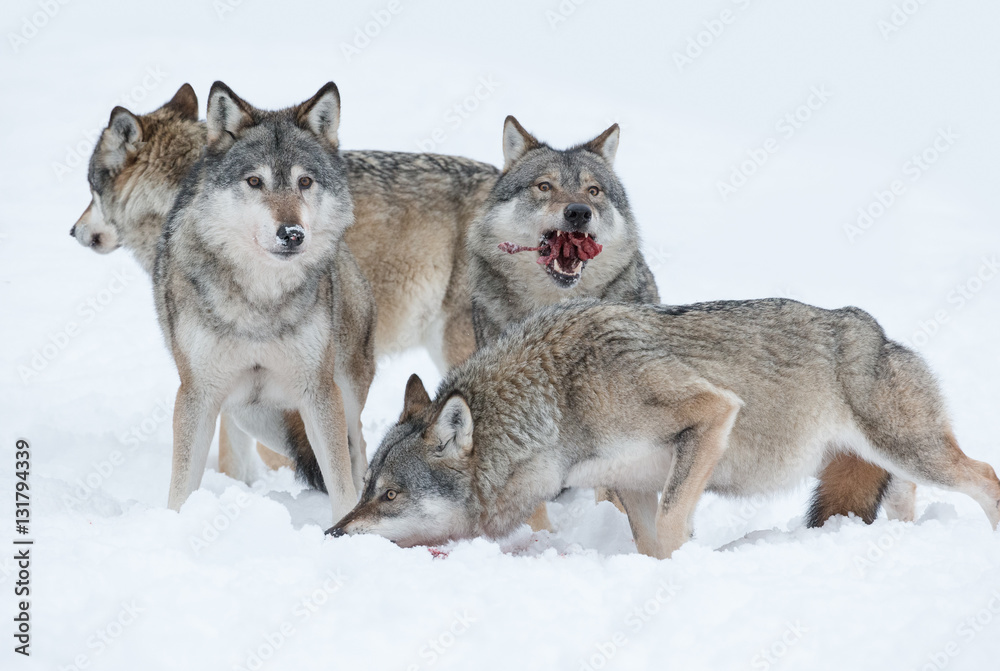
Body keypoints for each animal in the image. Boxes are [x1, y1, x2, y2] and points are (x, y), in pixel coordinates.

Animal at [154, 81, 376, 519]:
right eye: (255, 181)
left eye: (305, 182)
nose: (292, 234)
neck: (260, 300)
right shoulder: (197, 395)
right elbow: (181, 486)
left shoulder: (318, 391)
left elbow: (341, 483)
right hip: (252, 415)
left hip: (342, 393)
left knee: (357, 449)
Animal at [329, 299, 1000, 559]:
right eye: (365, 489)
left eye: (391, 495)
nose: (332, 535)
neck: (557, 404)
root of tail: (877, 328)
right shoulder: (632, 484)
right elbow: (650, 543)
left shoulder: (712, 411)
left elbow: (677, 526)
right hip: (884, 463)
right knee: (906, 497)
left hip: (911, 451)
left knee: (987, 477)